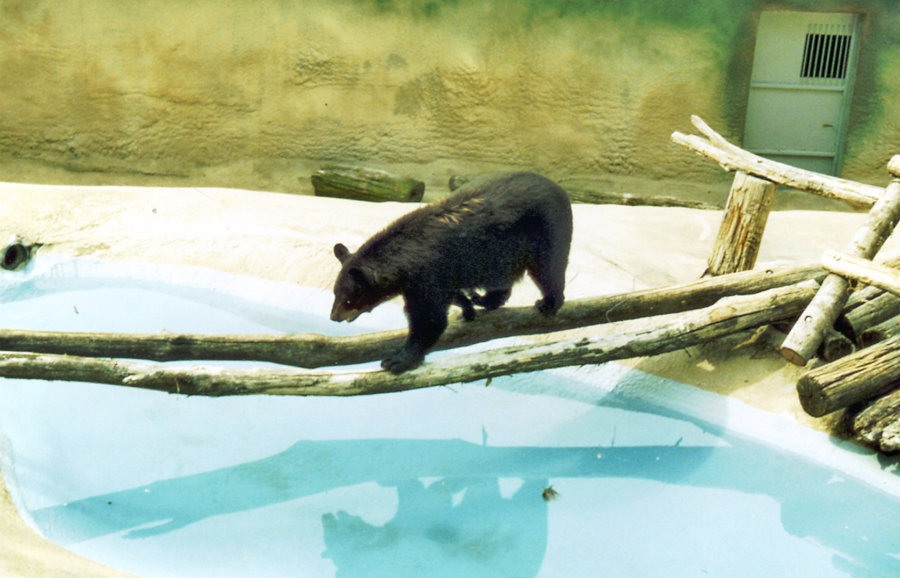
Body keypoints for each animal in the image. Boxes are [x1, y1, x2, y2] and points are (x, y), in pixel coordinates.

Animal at [328, 169, 568, 372]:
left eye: (348, 299)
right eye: (335, 294)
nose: (333, 317)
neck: (404, 257)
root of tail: (556, 186)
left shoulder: (426, 274)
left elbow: (429, 318)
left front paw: (398, 360)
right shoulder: (441, 276)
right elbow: (449, 297)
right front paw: (466, 306)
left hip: (545, 228)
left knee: (549, 268)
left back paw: (548, 301)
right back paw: (484, 299)